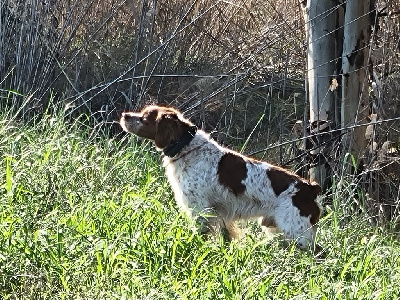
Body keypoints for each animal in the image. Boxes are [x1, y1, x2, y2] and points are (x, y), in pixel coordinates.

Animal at [119, 105, 322, 251]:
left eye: (145, 117)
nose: (124, 115)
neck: (187, 149)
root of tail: (310, 188)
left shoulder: (200, 209)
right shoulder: (220, 215)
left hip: (296, 232)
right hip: (279, 230)